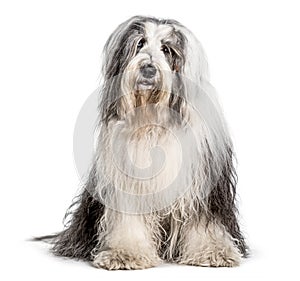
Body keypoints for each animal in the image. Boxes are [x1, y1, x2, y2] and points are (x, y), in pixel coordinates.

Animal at [38, 15, 248, 270]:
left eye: (167, 49)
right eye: (139, 44)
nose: (148, 68)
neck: (152, 120)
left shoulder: (202, 182)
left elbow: (204, 220)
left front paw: (213, 251)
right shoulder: (126, 180)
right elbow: (128, 219)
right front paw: (125, 253)